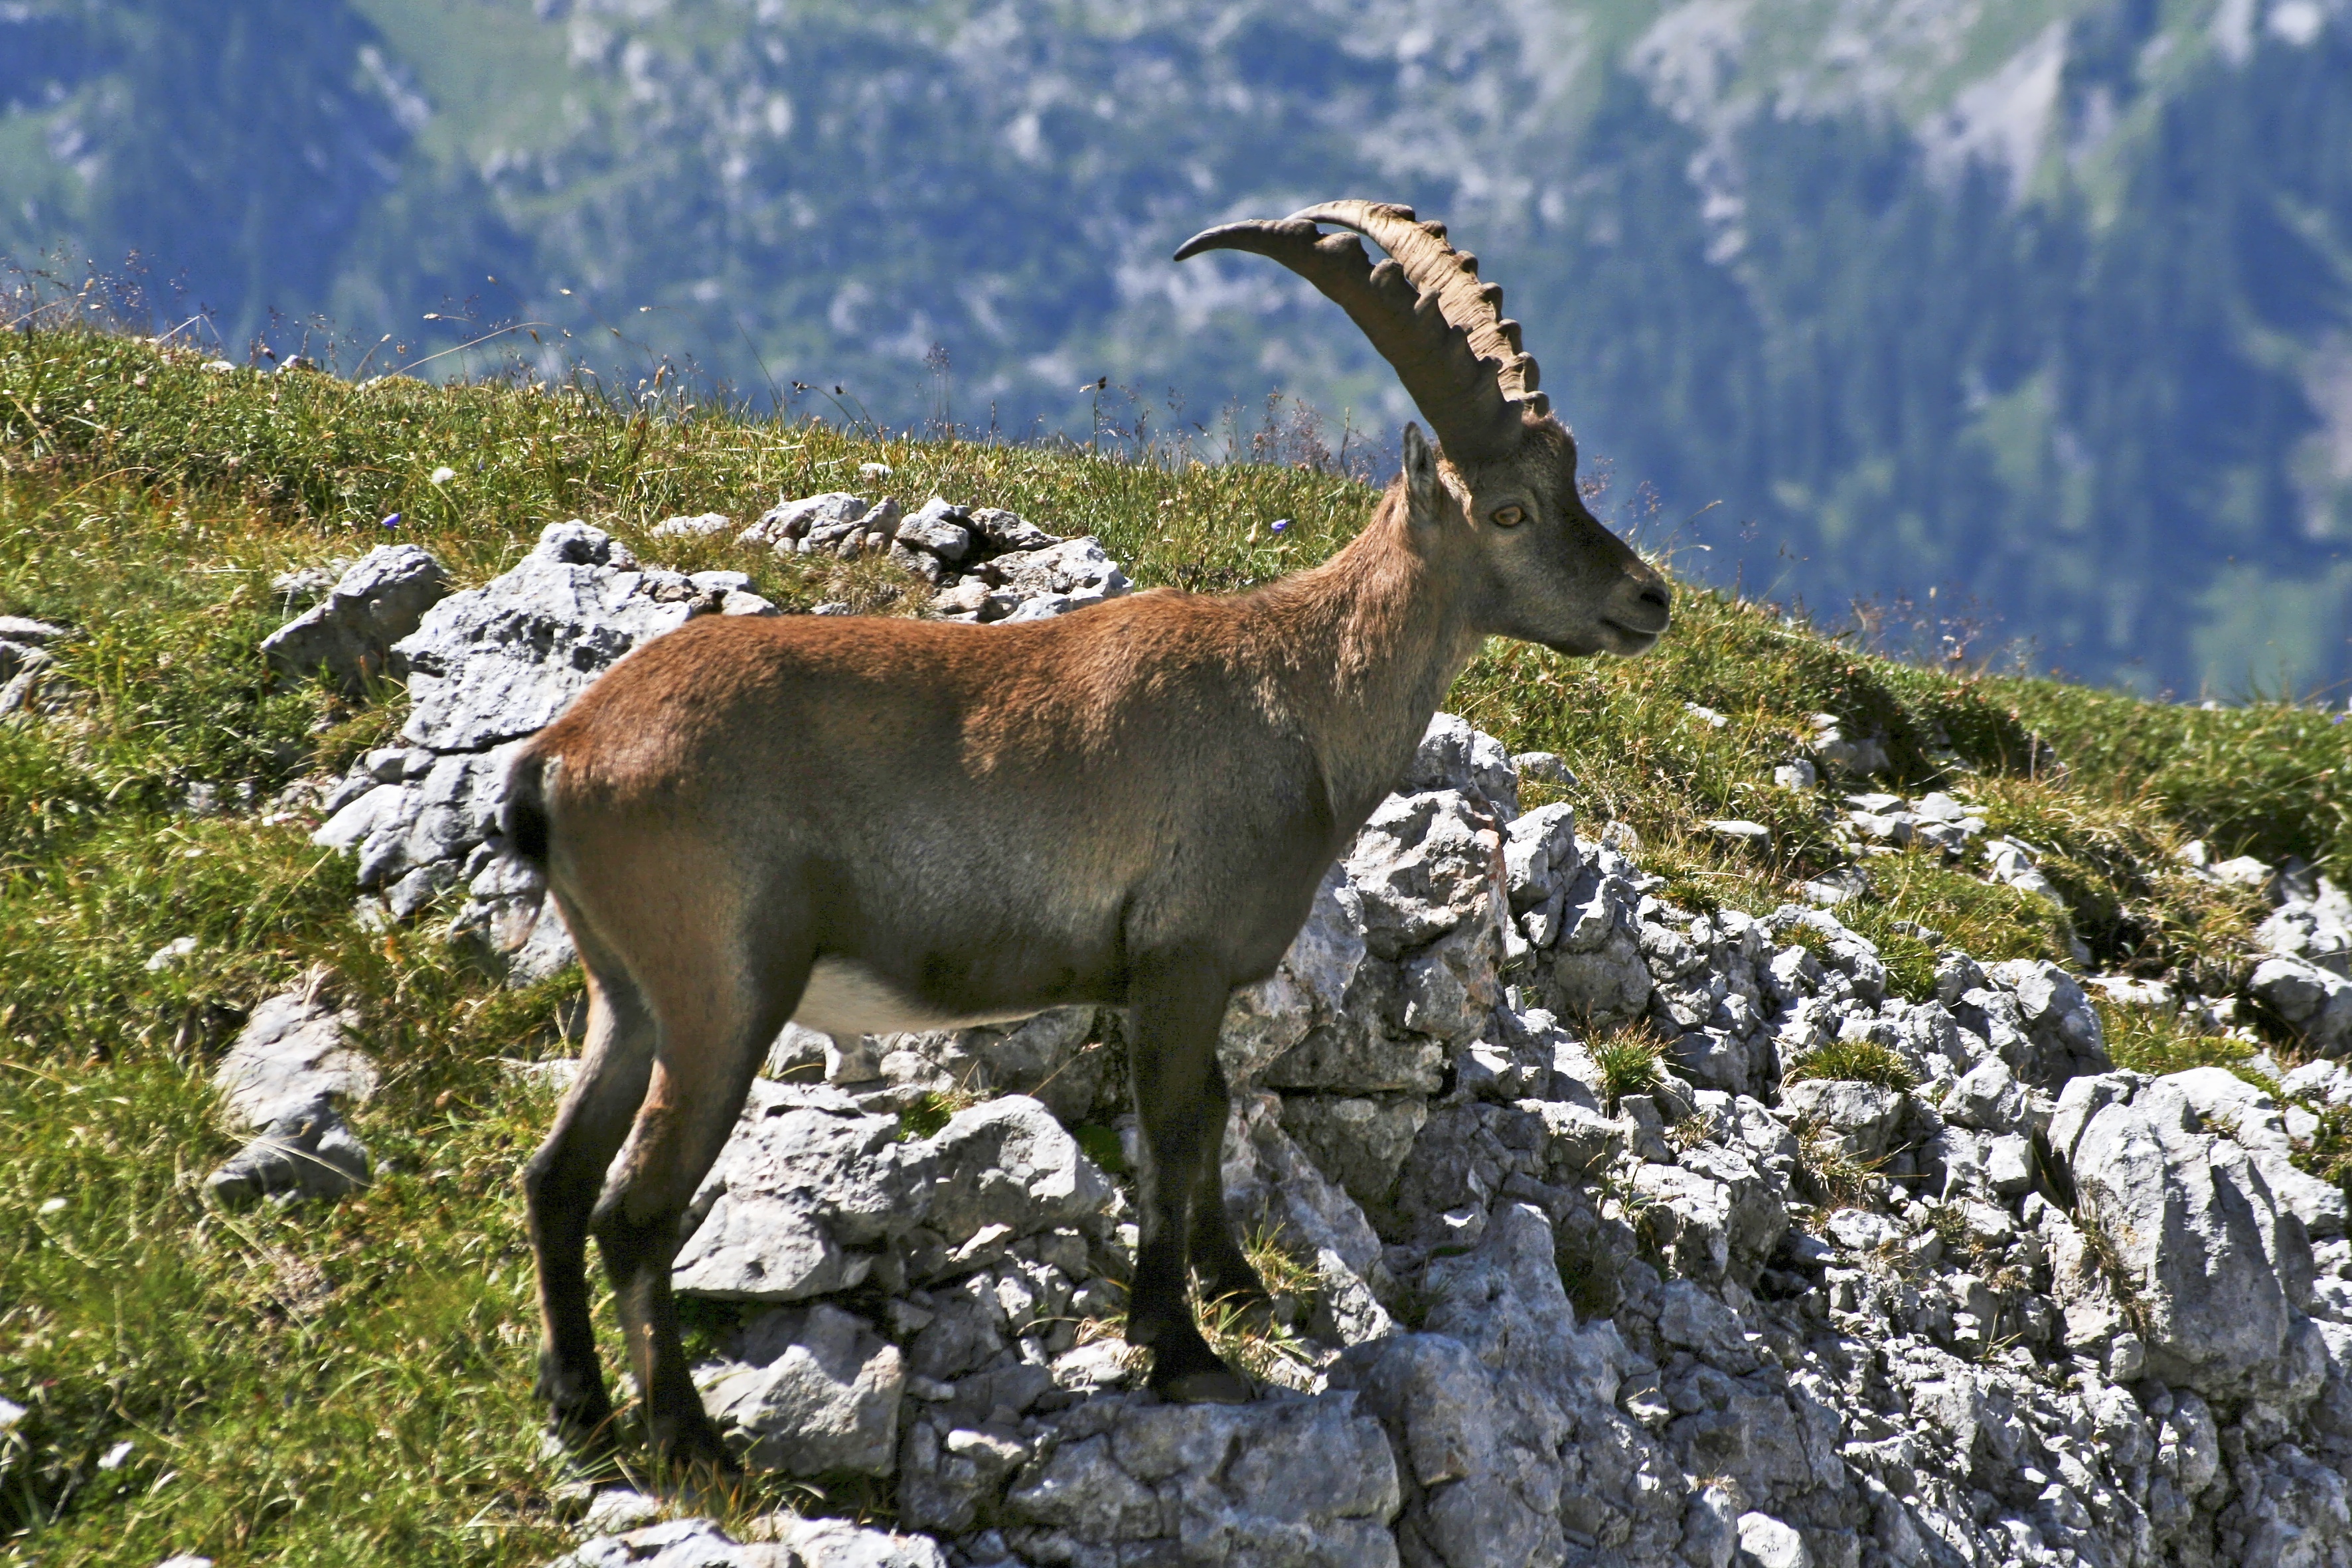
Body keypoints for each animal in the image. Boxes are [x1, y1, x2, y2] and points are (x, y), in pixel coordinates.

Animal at [504, 200, 1672, 1474]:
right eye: (1508, 509)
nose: (1648, 599)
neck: (1294, 692)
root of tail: (560, 757)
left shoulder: (1175, 979)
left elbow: (1208, 1114)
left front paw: (1235, 1287)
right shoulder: (1179, 962)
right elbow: (1169, 1131)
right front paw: (1180, 1348)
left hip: (627, 993)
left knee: (556, 1178)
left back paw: (576, 1404)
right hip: (721, 992)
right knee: (634, 1207)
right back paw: (690, 1439)